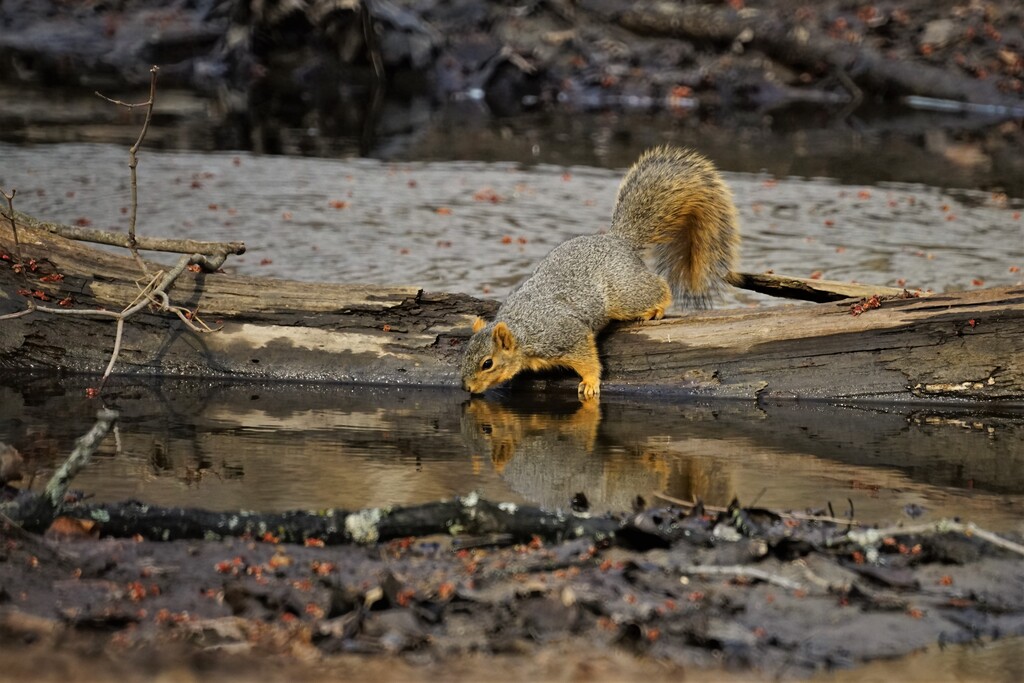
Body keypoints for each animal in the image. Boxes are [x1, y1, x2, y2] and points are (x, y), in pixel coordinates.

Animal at [460, 145, 740, 400]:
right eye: (465, 353)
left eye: (487, 363)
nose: (467, 388)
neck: (521, 333)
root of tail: (617, 240)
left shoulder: (566, 335)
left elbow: (588, 358)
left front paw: (590, 383)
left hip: (626, 293)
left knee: (658, 287)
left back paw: (656, 309)